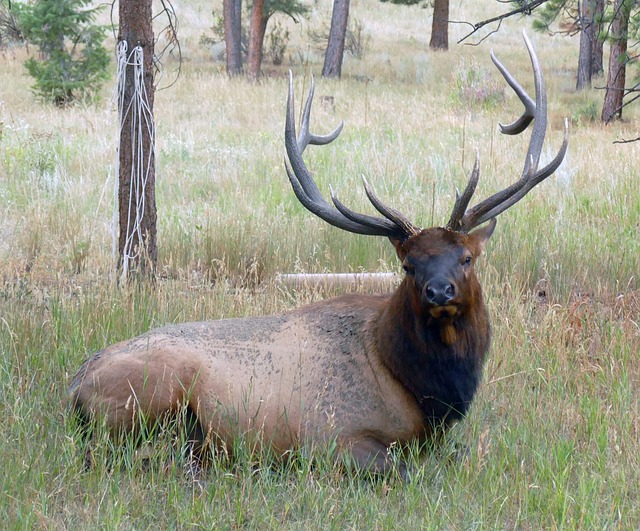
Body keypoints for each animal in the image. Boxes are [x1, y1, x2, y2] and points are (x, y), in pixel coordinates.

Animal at [69, 32, 568, 478]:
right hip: (154, 394)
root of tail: (74, 384)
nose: (439, 291)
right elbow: (408, 470)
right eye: (408, 265)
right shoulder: (329, 438)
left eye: (467, 258)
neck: (421, 390)